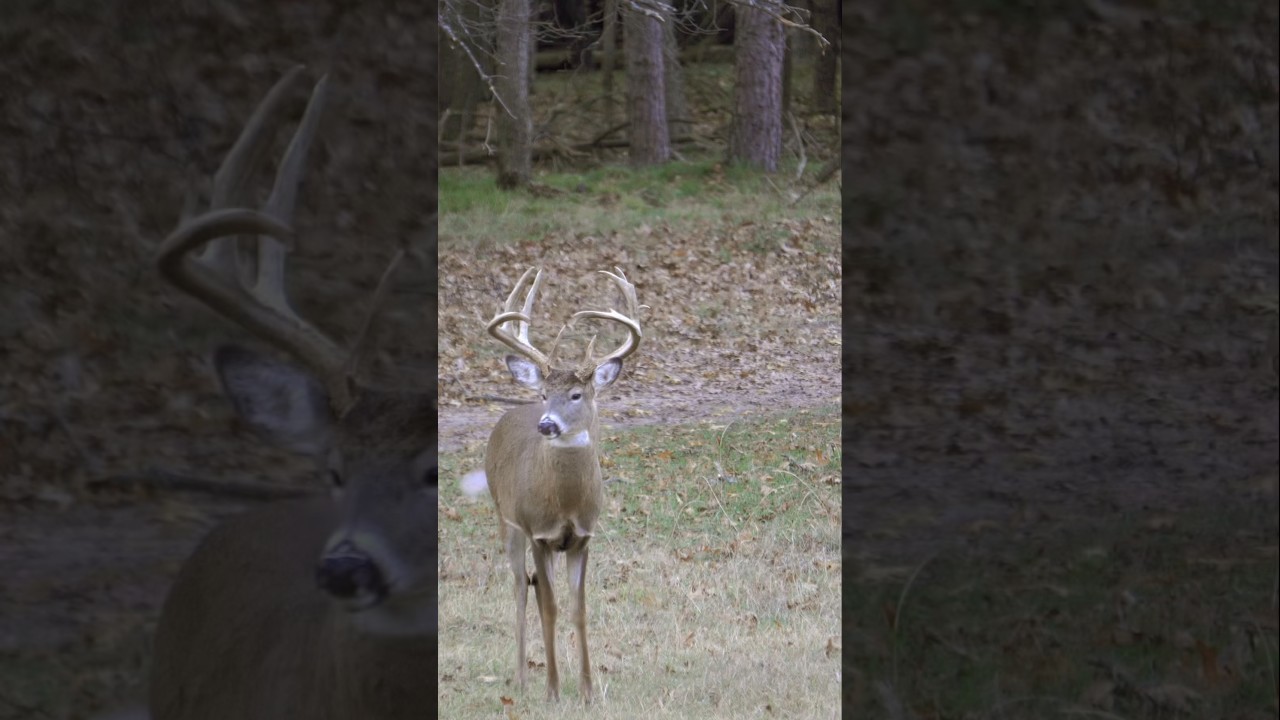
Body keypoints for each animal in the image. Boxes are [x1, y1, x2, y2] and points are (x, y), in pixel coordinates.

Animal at [474, 265, 643, 704]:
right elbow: (548, 607)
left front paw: (586, 689)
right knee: (521, 588)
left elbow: (577, 608)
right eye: (544, 392)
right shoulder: (539, 533)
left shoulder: (583, 537)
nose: (546, 424)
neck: (566, 503)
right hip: (505, 519)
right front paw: (552, 689)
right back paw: (521, 677)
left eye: (577, 394)